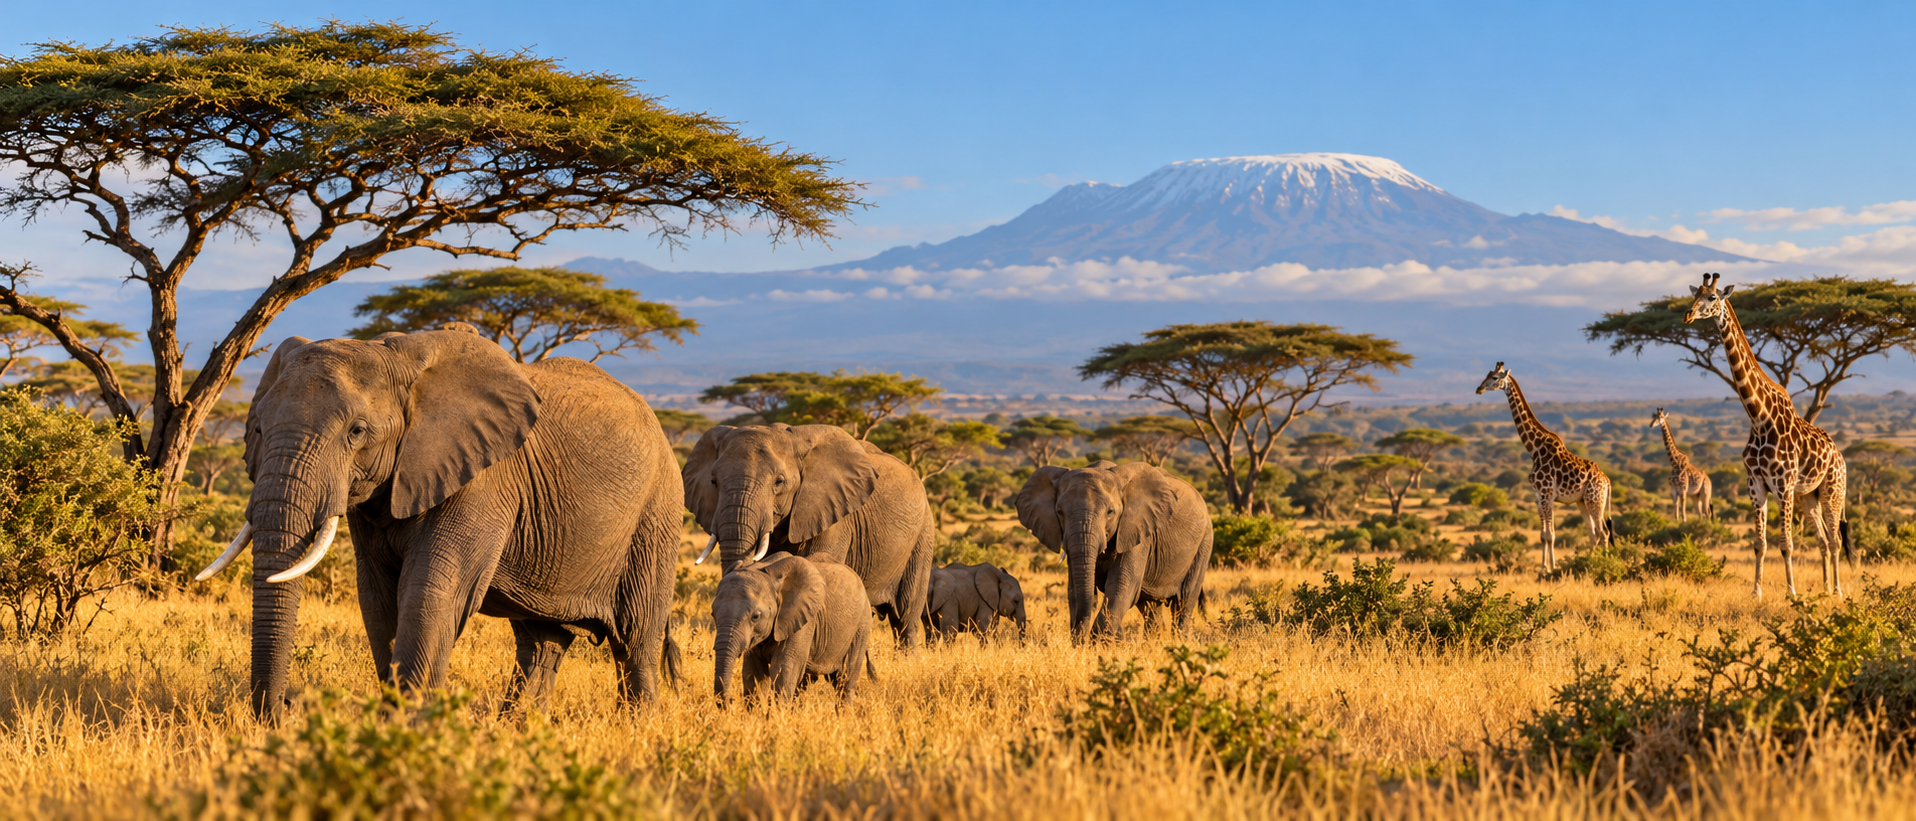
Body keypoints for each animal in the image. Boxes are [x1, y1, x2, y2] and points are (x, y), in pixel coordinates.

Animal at [196, 329, 684, 720]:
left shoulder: (483, 479)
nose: (284, 711)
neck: (394, 356)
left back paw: (638, 728)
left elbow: (431, 591)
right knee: (542, 639)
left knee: (636, 638)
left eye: (357, 432)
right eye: (257, 430)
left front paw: (406, 730)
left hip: (657, 515)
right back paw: (518, 728)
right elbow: (377, 598)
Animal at [711, 552, 874, 704]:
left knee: (846, 677)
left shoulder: (804, 620)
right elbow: (754, 672)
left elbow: (784, 669)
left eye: (755, 616)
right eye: (713, 614)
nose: (730, 701)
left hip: (862, 624)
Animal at [1016, 461, 1212, 642]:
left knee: (1184, 600)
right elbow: (1074, 589)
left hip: (1204, 543)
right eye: (1059, 511)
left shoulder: (1136, 530)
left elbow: (1121, 585)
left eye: (1110, 511)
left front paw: (1099, 646)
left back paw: (1180, 641)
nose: (1081, 642)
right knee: (1150, 606)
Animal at [1475, 362, 1614, 572]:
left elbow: (1551, 534)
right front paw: (1544, 567)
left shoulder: (1547, 494)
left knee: (1603, 532)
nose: (1479, 389)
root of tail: (1607, 481)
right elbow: (1543, 535)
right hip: (1582, 502)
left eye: (1495, 378)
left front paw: (1551, 568)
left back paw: (1602, 564)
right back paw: (1589, 562)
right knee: (1594, 533)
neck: (1534, 449)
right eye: (1487, 374)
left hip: (1594, 500)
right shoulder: (1537, 496)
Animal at [1683, 272, 1849, 599]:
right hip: (1808, 496)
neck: (1759, 417)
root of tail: (1840, 456)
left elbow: (1786, 543)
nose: (1688, 315)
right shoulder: (1755, 484)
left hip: (1832, 490)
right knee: (1824, 540)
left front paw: (1792, 593)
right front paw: (1756, 592)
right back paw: (1824, 590)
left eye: (1712, 297)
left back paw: (1837, 591)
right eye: (1694, 294)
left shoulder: (1783, 484)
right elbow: (1759, 544)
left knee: (1836, 539)